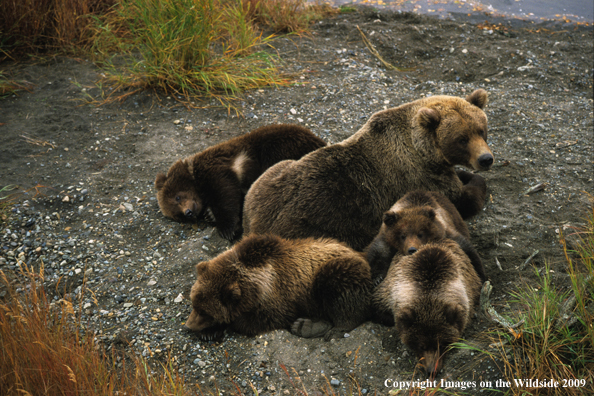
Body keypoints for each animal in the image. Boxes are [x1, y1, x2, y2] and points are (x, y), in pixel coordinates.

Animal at [242, 90, 490, 251]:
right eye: (461, 139)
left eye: (481, 130)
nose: (486, 159)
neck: (423, 150)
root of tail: (258, 227)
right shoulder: (420, 177)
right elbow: (462, 200)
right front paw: (473, 181)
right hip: (321, 226)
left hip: (269, 180)